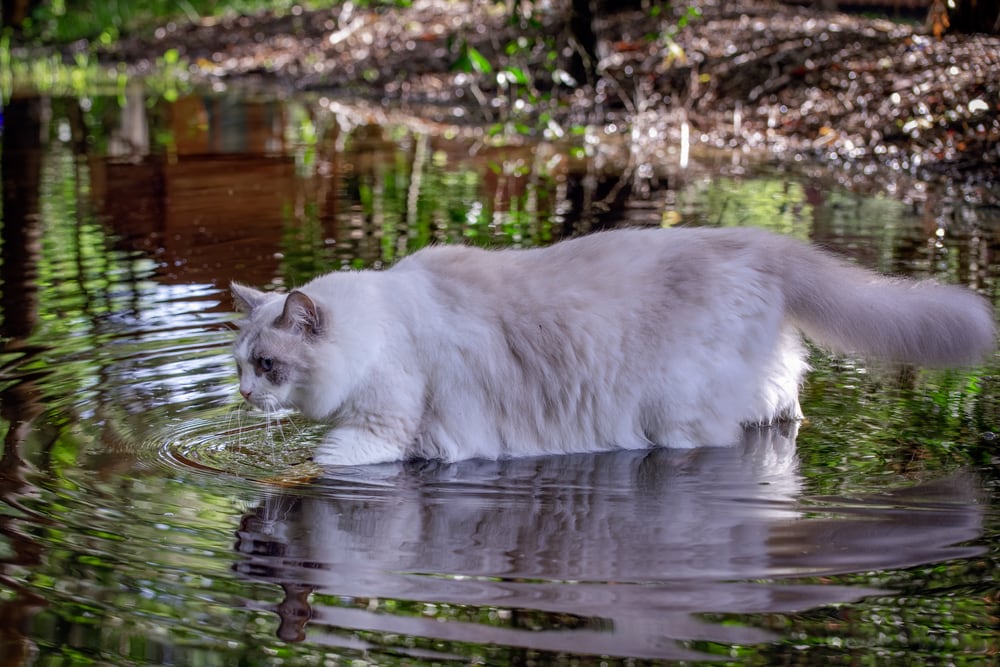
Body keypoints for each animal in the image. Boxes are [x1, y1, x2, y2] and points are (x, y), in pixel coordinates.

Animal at [232, 227, 992, 468]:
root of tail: (758, 240)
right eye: (241, 365)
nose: (240, 393)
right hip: (764, 387)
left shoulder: (379, 430)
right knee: (784, 410)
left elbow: (313, 466)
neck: (381, 322)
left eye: (267, 365)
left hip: (679, 417)